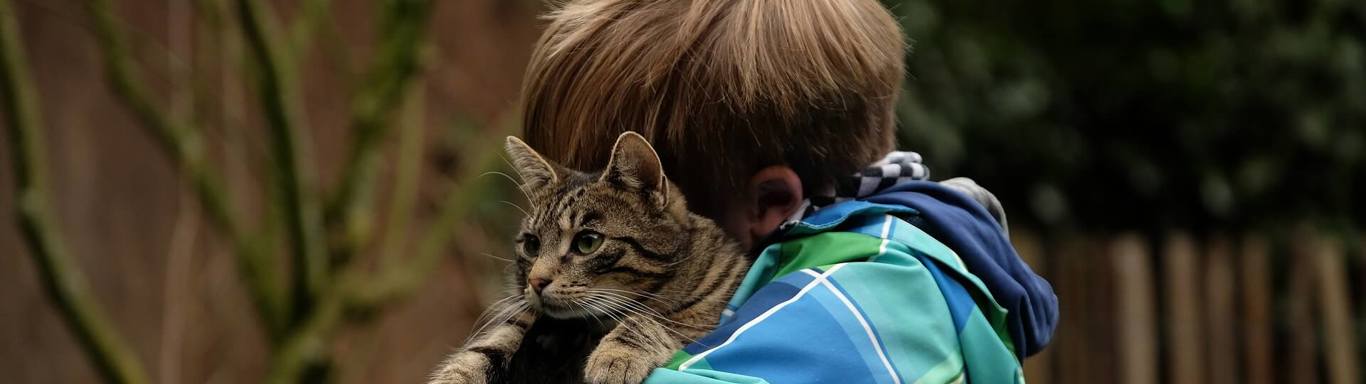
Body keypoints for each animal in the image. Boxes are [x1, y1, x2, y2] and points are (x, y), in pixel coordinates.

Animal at [431, 132, 754, 382]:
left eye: (587, 242)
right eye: (532, 245)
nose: (536, 281)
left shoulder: (704, 315)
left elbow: (651, 320)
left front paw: (616, 355)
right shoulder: (520, 321)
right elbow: (476, 355)